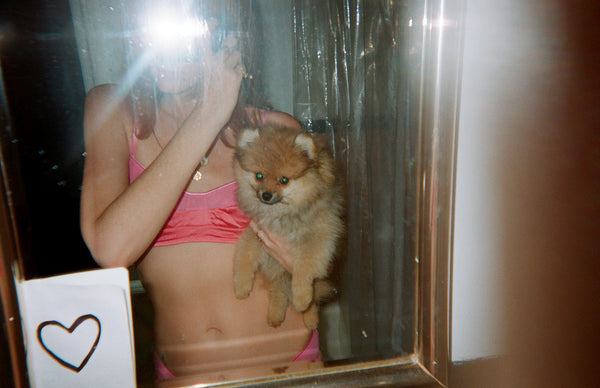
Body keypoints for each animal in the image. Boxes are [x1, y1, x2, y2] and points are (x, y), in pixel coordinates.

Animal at [233, 126, 342, 328]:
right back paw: (275, 314)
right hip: (278, 272)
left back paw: (310, 317)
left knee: (312, 296)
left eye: (284, 180)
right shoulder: (258, 231)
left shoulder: (318, 237)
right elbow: (244, 254)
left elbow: (304, 268)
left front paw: (301, 297)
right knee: (279, 290)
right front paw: (241, 285)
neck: (282, 213)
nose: (266, 195)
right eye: (259, 176)